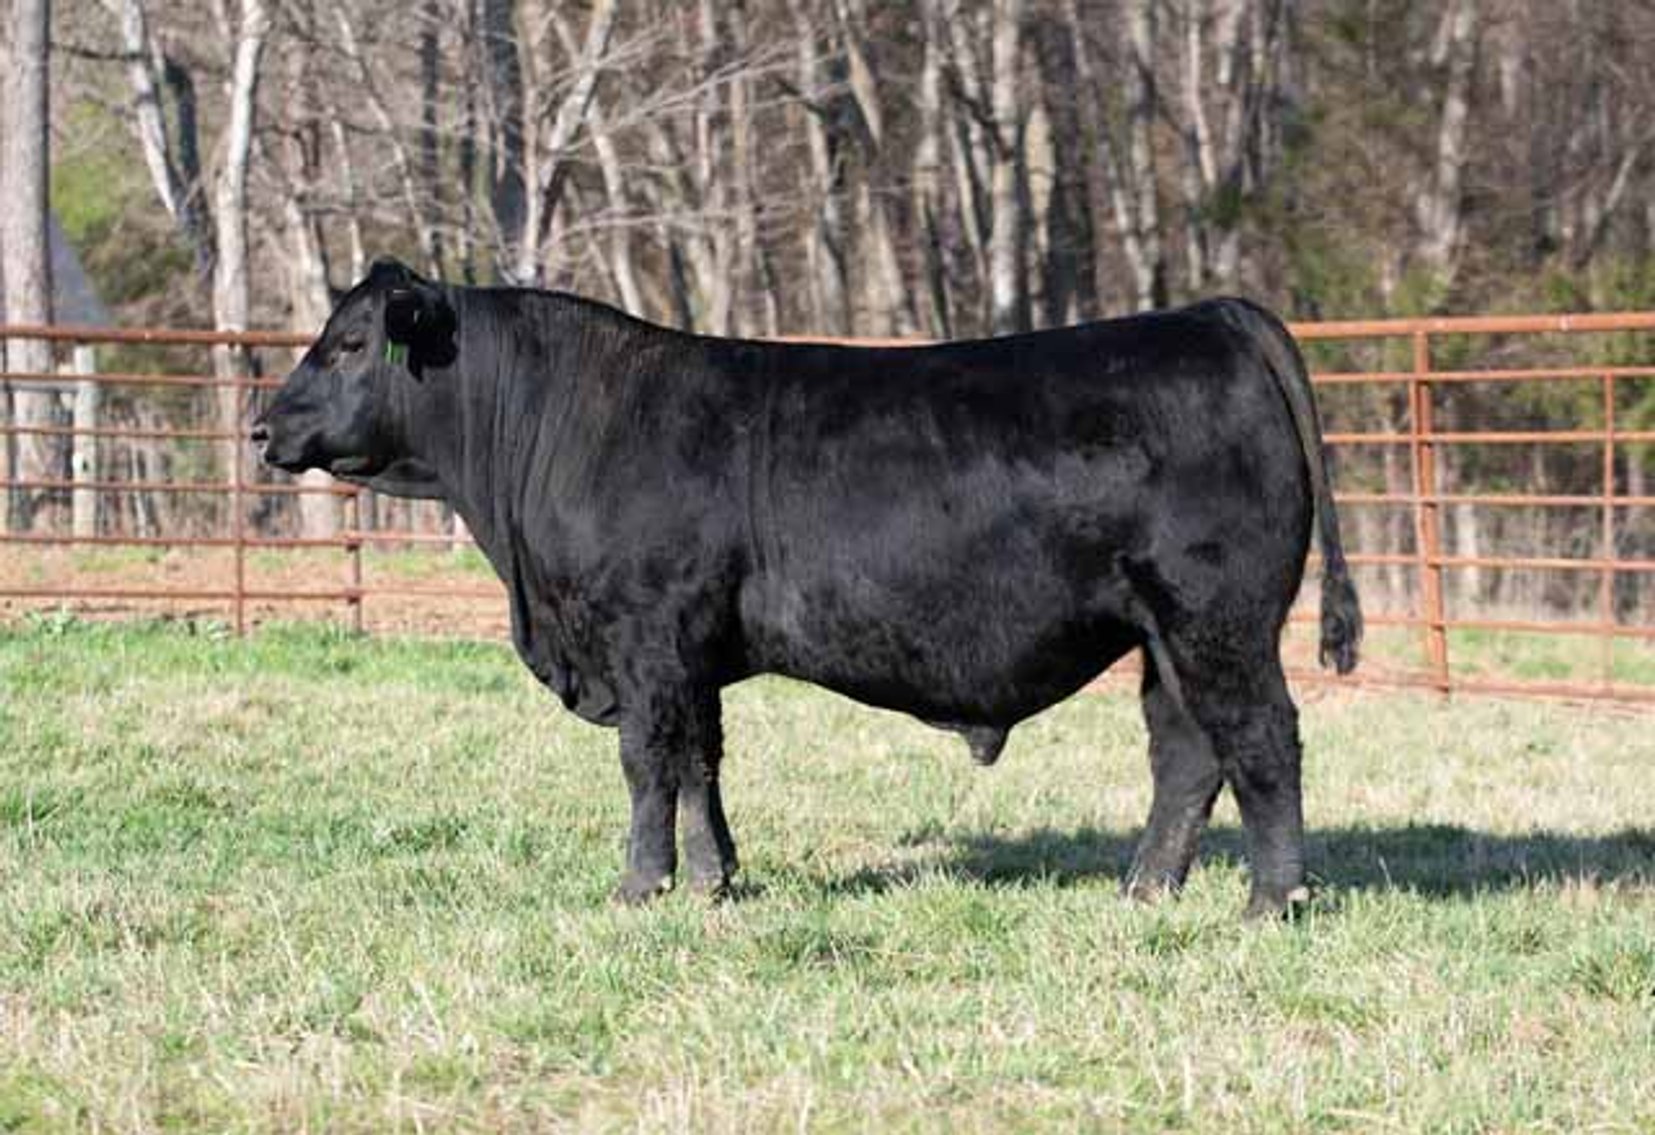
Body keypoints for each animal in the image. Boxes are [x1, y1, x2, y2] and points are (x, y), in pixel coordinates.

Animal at [252, 258, 1362, 917]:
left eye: (347, 343)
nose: (262, 426)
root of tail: (1211, 315)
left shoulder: (645, 634)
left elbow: (646, 763)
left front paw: (638, 885)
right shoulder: (688, 653)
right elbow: (699, 763)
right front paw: (713, 880)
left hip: (1216, 615)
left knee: (1261, 736)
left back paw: (1271, 901)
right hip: (1162, 633)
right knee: (1185, 750)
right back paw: (1143, 890)